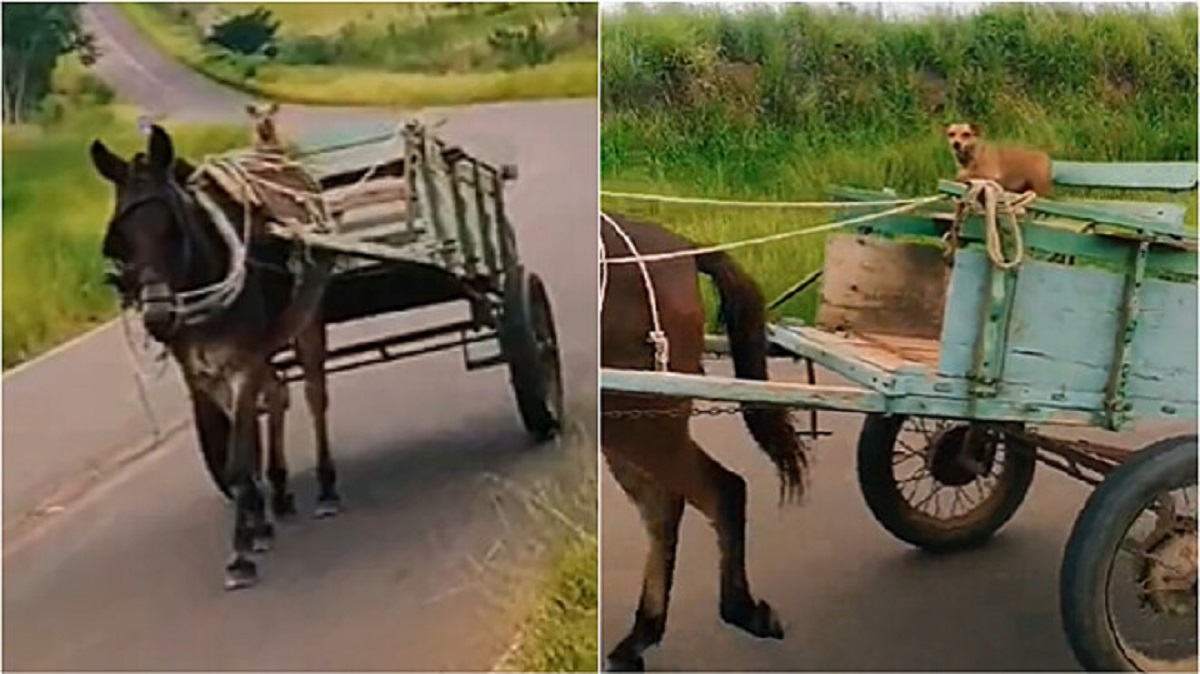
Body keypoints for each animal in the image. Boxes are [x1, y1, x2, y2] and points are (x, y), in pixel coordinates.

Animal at [604, 212, 811, 666]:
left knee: (719, 489)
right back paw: (641, 634)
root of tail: (684, 250)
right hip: (628, 421)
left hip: (641, 418)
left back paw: (742, 609)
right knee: (664, 508)